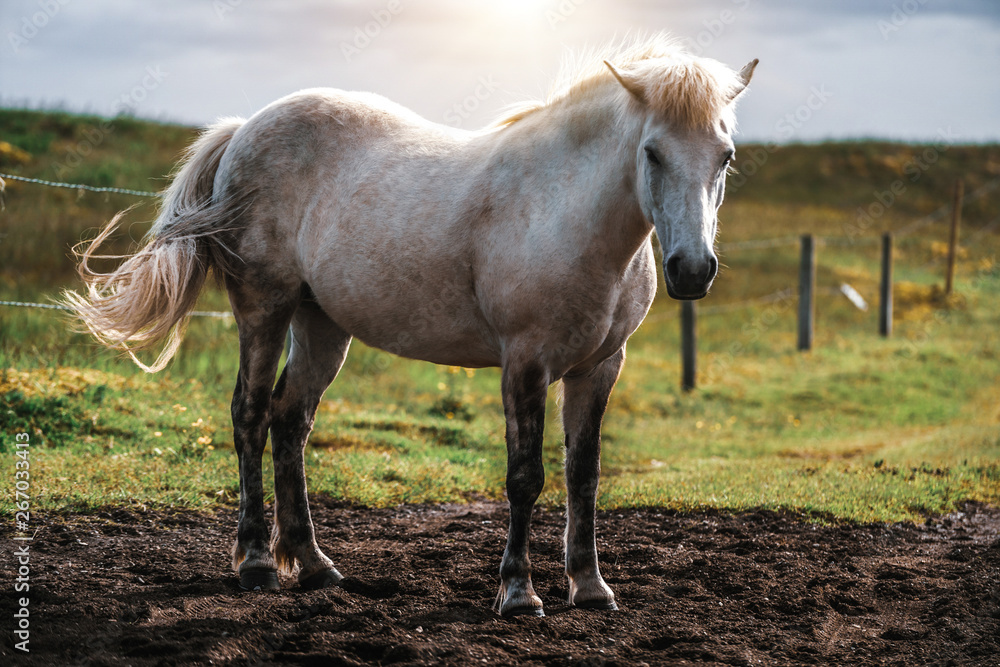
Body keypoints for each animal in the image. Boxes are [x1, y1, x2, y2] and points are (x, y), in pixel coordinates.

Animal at [66, 36, 752, 620]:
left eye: (725, 156)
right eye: (652, 152)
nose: (693, 269)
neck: (562, 209)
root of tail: (244, 130)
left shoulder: (599, 367)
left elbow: (583, 474)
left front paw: (589, 586)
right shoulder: (525, 363)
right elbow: (525, 477)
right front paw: (518, 594)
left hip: (321, 325)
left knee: (291, 422)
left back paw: (314, 566)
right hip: (265, 309)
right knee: (251, 415)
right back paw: (258, 563)